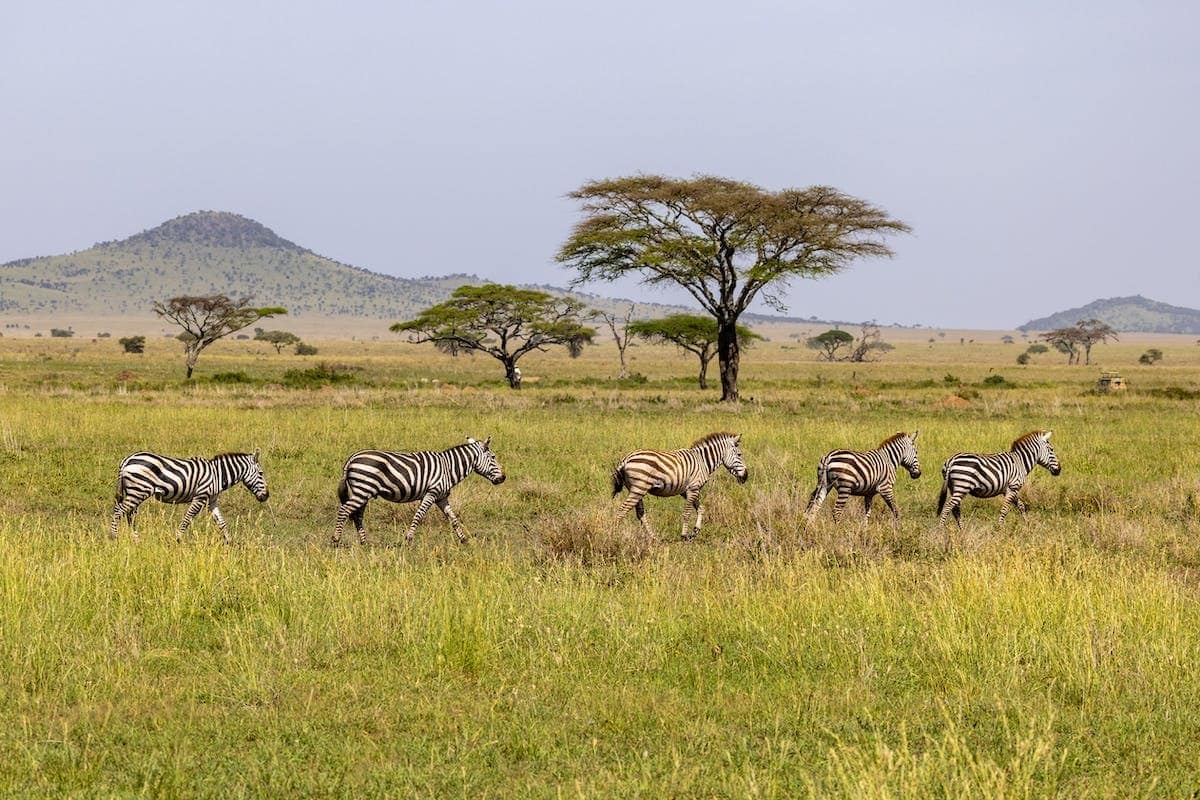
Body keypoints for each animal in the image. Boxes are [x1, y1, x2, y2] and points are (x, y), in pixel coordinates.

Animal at [110, 450, 270, 544]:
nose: (266, 496)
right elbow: (188, 518)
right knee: (119, 511)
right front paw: (177, 539)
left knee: (129, 514)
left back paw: (136, 539)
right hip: (139, 490)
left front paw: (229, 542)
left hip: (135, 491)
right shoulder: (200, 497)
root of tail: (127, 460)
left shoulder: (212, 501)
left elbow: (221, 522)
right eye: (261, 473)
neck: (218, 474)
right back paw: (113, 537)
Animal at [333, 434, 506, 546]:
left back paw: (364, 542)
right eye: (493, 457)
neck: (448, 467)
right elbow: (419, 515)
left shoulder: (441, 497)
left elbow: (453, 518)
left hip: (363, 492)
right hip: (363, 490)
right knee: (344, 511)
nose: (503, 478)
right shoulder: (431, 493)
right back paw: (335, 540)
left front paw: (464, 540)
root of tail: (352, 458)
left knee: (357, 516)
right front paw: (409, 539)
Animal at [614, 431, 744, 537]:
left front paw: (695, 531)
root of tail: (625, 459)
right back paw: (615, 535)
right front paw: (684, 535)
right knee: (622, 511)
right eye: (739, 455)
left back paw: (653, 537)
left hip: (636, 489)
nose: (745, 477)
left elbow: (701, 508)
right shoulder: (693, 488)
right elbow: (687, 513)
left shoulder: (687, 491)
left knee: (640, 513)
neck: (703, 461)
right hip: (639, 488)